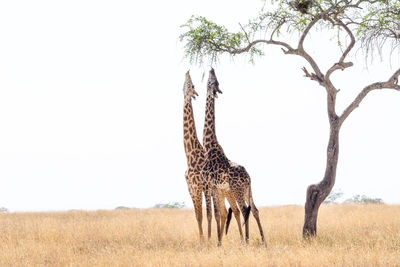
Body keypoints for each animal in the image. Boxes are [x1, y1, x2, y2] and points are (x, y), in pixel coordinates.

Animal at [202, 69, 268, 247]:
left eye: (214, 81)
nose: (211, 69)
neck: (209, 146)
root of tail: (248, 177)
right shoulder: (217, 188)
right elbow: (220, 213)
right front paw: (219, 242)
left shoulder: (210, 184)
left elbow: (217, 213)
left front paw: (218, 243)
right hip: (246, 190)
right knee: (255, 209)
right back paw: (263, 241)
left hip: (238, 190)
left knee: (245, 210)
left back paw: (247, 241)